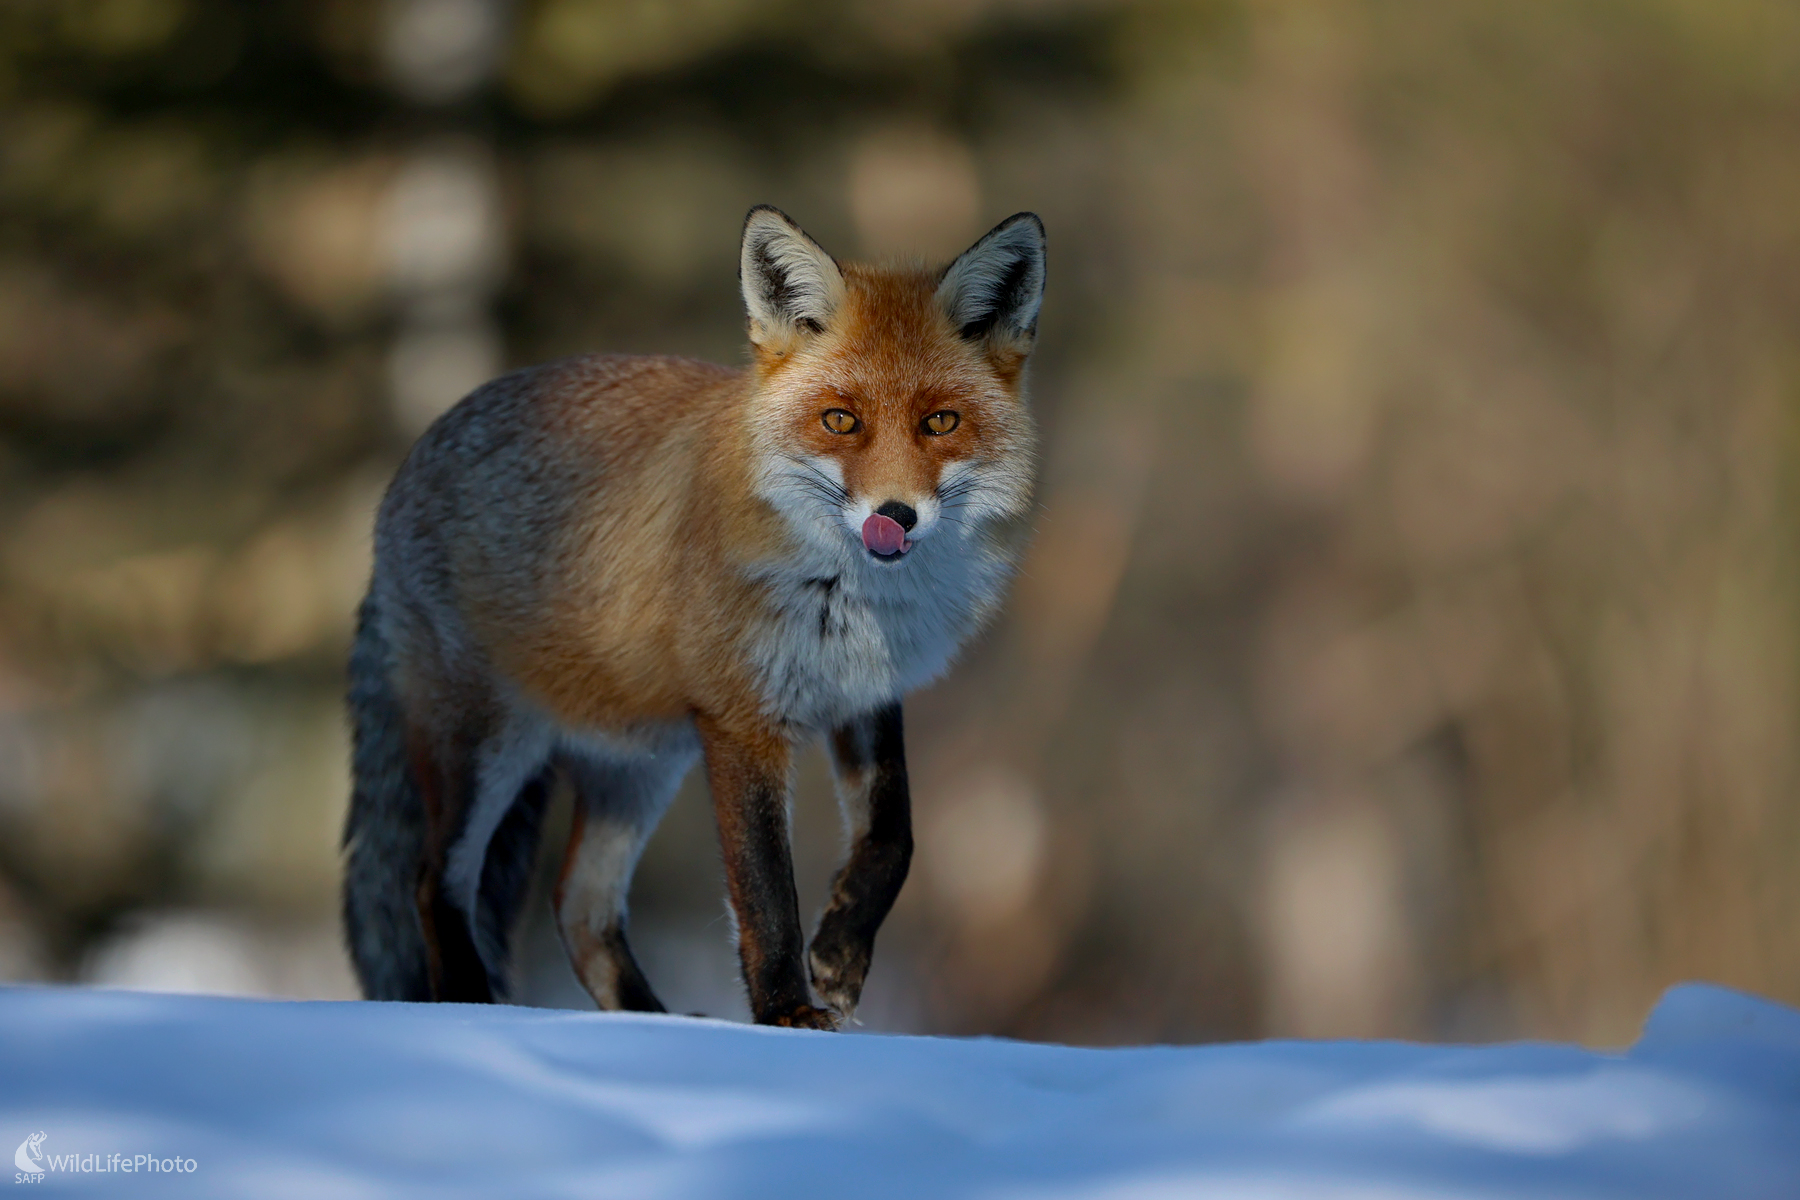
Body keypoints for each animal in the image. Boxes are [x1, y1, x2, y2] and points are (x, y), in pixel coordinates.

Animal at [340, 208, 1044, 1036]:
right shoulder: (742, 722)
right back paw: (476, 1014)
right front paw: (786, 1014)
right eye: (840, 420)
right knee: (433, 883)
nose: (895, 516)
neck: (851, 598)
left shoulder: (864, 697)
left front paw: (839, 956)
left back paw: (660, 1025)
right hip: (486, 746)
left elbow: (892, 838)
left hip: (640, 768)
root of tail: (411, 463)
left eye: (941, 422)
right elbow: (766, 893)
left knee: (579, 909)